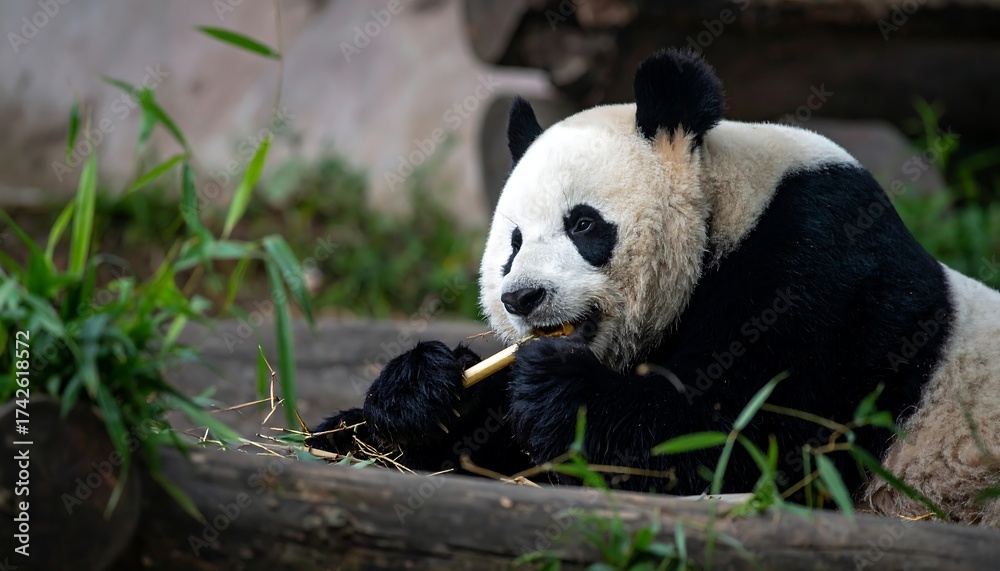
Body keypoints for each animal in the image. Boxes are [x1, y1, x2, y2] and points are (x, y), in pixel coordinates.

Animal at [309, 49, 1000, 525]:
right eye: (512, 246)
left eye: (584, 224)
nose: (521, 298)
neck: (728, 209)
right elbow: (501, 442)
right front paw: (414, 392)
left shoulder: (824, 274)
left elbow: (754, 440)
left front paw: (561, 388)